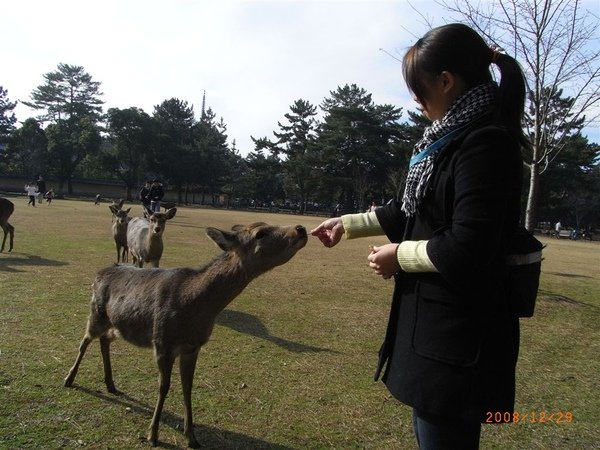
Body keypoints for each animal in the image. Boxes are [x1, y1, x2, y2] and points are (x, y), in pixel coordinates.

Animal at [64, 221, 310, 446]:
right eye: (261, 233)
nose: (300, 229)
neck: (194, 307)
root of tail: (99, 272)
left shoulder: (193, 347)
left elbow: (187, 387)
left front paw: (191, 436)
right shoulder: (162, 342)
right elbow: (164, 387)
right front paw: (152, 435)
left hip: (117, 325)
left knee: (104, 340)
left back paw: (110, 384)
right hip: (96, 313)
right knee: (84, 341)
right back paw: (69, 379)